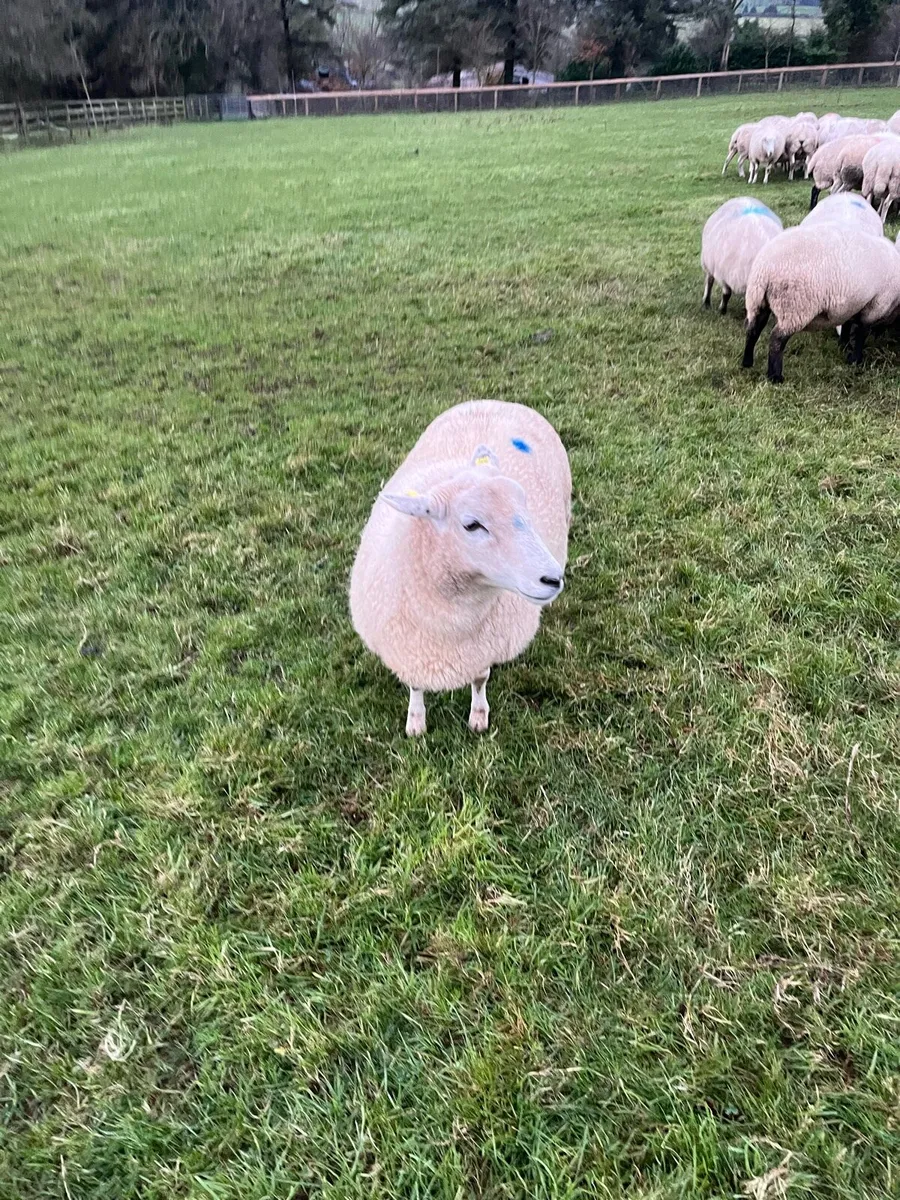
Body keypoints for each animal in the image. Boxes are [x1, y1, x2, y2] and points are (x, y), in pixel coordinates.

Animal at [350, 400, 570, 736]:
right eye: (472, 525)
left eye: (525, 507)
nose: (553, 579)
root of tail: (495, 401)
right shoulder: (411, 649)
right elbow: (415, 686)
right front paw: (416, 723)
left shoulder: (483, 647)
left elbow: (479, 679)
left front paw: (478, 717)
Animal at [742, 226, 900, 383]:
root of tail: (764, 270)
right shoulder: (876, 305)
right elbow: (862, 332)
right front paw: (855, 360)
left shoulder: (851, 305)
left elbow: (847, 324)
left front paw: (844, 345)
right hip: (794, 307)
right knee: (776, 340)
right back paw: (775, 377)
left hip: (757, 302)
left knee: (753, 330)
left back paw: (747, 363)